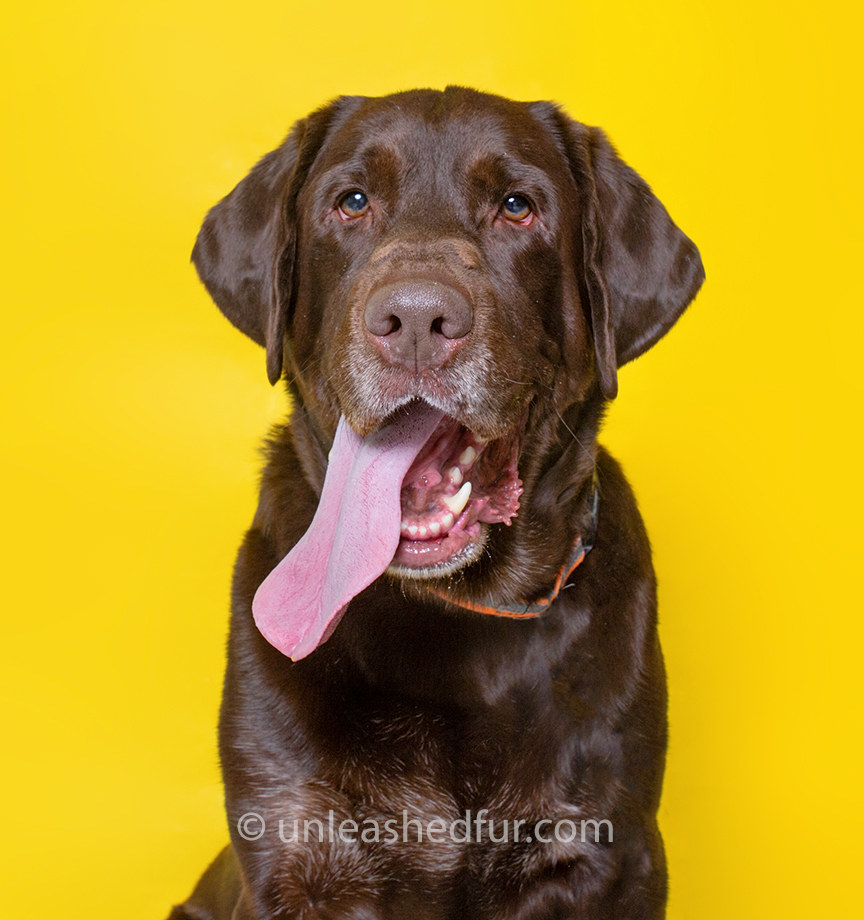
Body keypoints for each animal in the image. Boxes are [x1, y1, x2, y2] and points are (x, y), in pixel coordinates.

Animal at [169, 88, 704, 920]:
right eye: (352, 202)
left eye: (517, 207)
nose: (415, 319)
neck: (449, 616)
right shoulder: (296, 848)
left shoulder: (612, 853)